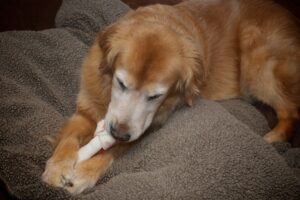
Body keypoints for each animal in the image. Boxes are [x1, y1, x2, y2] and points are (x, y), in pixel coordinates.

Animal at [42, 0, 300, 195]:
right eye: (121, 83)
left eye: (155, 96)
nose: (118, 133)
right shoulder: (86, 109)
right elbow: (69, 138)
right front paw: (57, 167)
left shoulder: (149, 127)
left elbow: (115, 150)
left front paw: (85, 173)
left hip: (256, 61)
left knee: (291, 112)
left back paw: (271, 139)